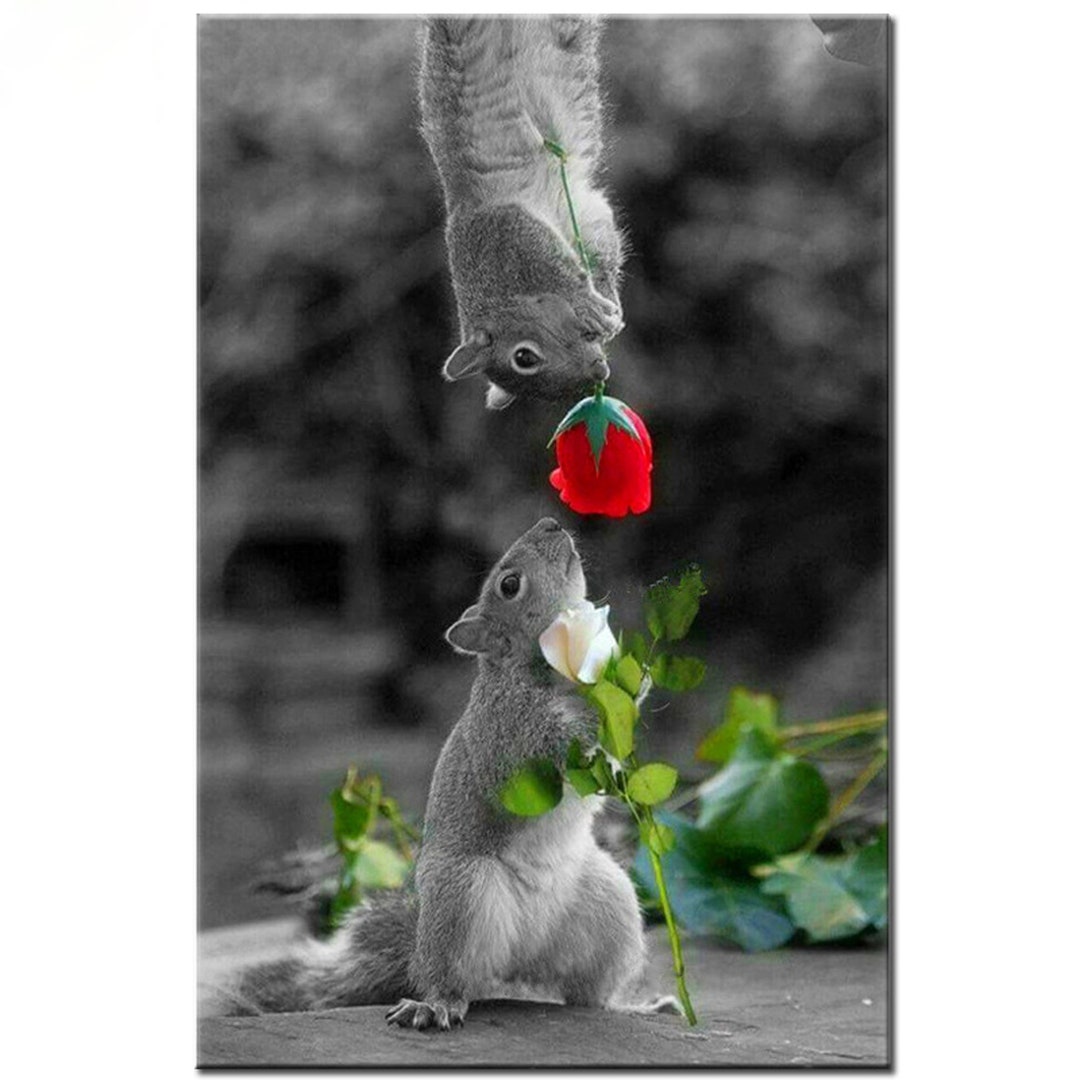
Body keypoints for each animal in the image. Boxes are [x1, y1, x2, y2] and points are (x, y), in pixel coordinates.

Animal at [223, 518, 677, 1029]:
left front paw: (634, 682)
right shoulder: (504, 730)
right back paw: (434, 1004)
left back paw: (639, 1005)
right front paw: (585, 727)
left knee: (587, 995)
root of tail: (521, 959)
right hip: (462, 896)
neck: (549, 676)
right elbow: (537, 759)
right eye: (509, 585)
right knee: (454, 979)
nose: (550, 523)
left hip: (609, 906)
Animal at [418, 17, 626, 411]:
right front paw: (605, 300)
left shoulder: (500, 227)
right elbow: (601, 244)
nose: (599, 370)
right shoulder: (583, 213)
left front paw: (590, 303)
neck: (499, 292)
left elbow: (553, 263)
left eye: (524, 357)